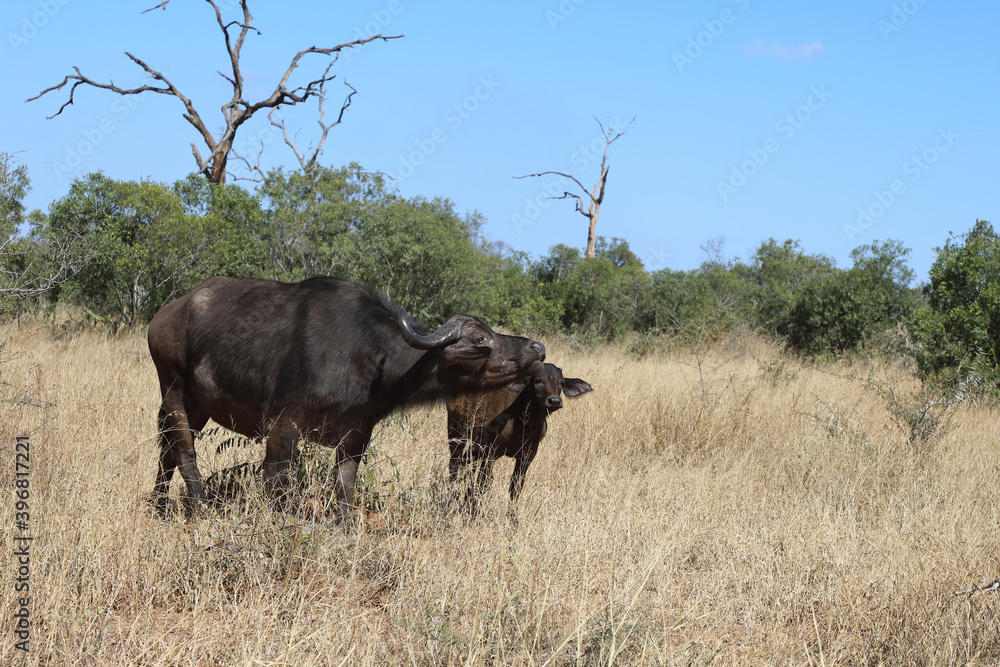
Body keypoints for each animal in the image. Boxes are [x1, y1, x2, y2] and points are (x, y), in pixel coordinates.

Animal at [146, 276, 546, 521]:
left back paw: (158, 505)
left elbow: (345, 489)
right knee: (183, 453)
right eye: (480, 340)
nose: (537, 348)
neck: (368, 359)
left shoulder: (354, 438)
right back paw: (198, 506)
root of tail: (165, 315)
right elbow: (277, 484)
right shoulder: (283, 426)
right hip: (174, 390)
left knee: (167, 451)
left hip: (196, 406)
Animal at [446, 362, 592, 522]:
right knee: (455, 466)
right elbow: (484, 482)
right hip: (456, 434)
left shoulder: (528, 454)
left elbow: (516, 487)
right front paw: (474, 514)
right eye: (537, 380)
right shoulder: (489, 450)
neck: (523, 423)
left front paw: (513, 520)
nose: (555, 401)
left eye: (561, 383)